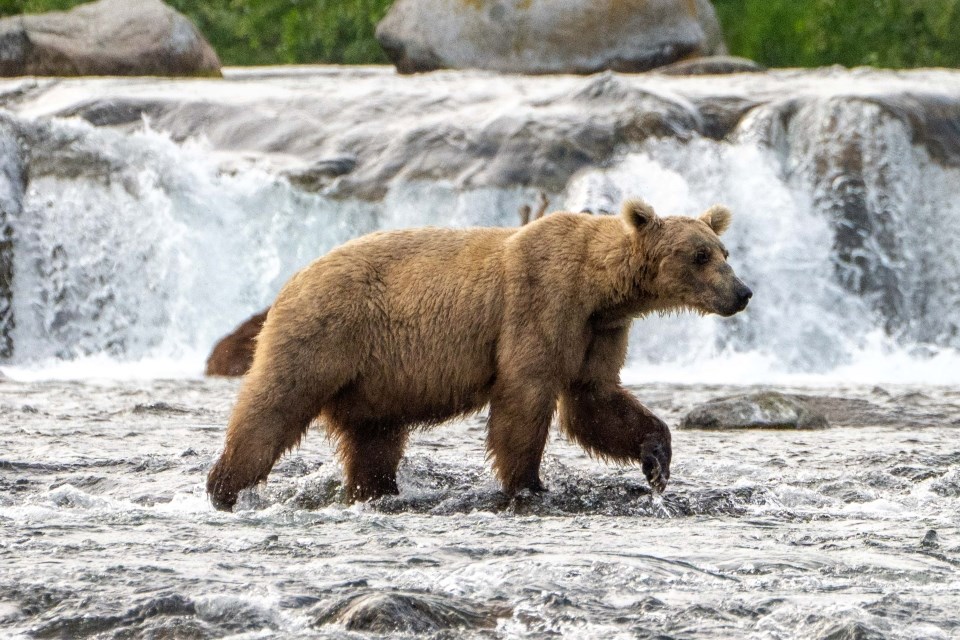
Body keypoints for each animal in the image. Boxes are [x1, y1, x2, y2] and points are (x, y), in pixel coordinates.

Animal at [208, 199, 752, 510]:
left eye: (723, 251)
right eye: (700, 255)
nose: (743, 292)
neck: (600, 287)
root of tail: (293, 277)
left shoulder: (598, 332)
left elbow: (595, 401)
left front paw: (656, 460)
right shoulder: (541, 303)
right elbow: (525, 397)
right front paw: (528, 485)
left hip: (375, 379)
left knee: (373, 441)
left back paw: (376, 491)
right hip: (326, 331)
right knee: (274, 404)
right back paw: (225, 486)